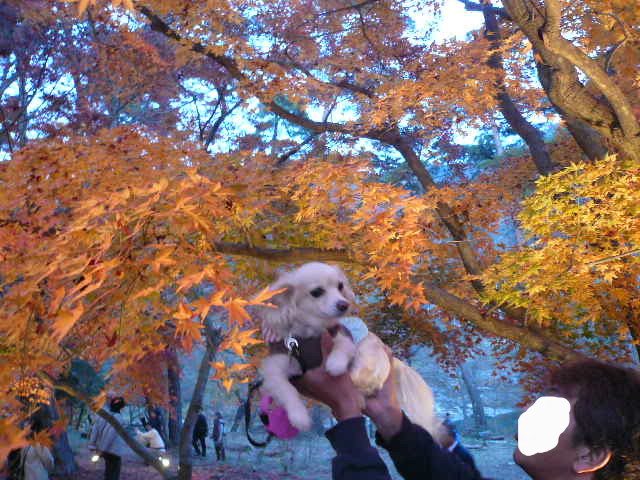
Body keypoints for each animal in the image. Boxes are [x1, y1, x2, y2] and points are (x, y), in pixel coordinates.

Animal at [253, 262, 446, 443]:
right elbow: (286, 389)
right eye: (316, 292)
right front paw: (299, 417)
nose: (343, 304)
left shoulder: (342, 333)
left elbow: (342, 346)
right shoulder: (274, 368)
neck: (311, 331)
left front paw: (334, 364)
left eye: (340, 286)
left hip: (367, 354)